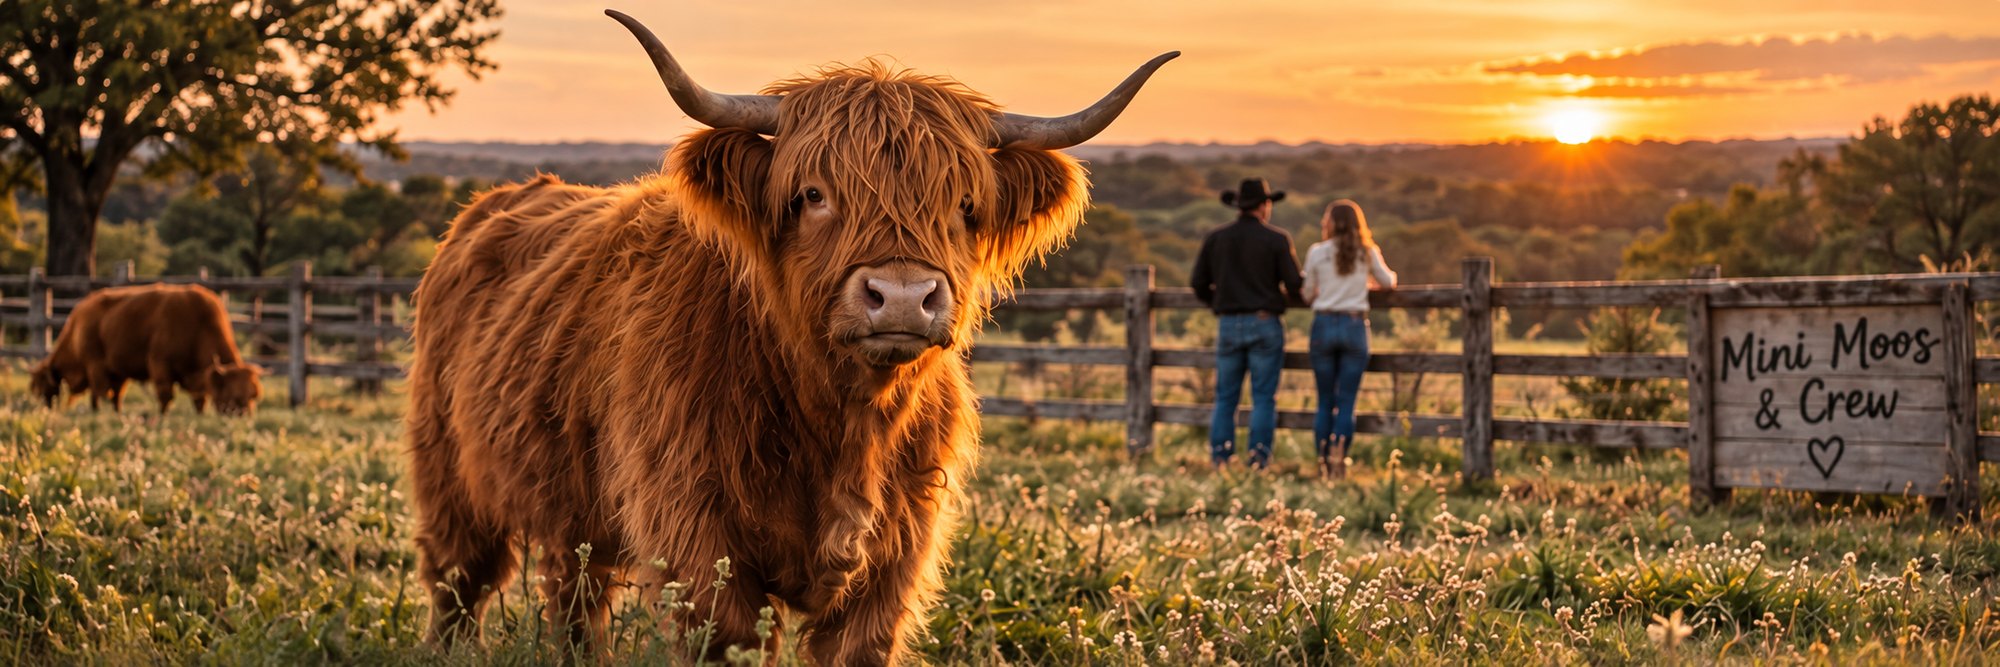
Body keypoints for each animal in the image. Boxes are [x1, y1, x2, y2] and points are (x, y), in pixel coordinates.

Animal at [29, 284, 264, 415]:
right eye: (235, 396)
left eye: (253, 395)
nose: (244, 418)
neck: (200, 324)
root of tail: (80, 310)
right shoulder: (160, 365)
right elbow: (165, 396)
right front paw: (162, 416)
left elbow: (199, 399)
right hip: (97, 364)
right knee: (100, 392)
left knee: (109, 393)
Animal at [405, 9, 1174, 664]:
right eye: (813, 195)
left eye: (964, 205)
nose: (902, 295)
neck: (841, 423)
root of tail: (497, 202)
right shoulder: (700, 545)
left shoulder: (893, 559)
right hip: (448, 476)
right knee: (459, 582)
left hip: (573, 514)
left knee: (572, 599)